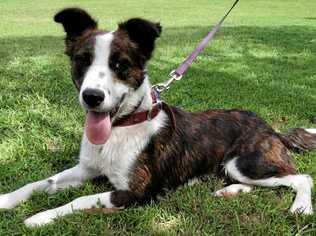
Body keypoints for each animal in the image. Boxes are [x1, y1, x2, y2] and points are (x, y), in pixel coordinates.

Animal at [0, 7, 316, 227]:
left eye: (120, 65)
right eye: (82, 61)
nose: (92, 96)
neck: (121, 127)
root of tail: (269, 127)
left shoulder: (136, 193)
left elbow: (80, 200)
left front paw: (40, 218)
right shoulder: (87, 169)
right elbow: (44, 182)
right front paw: (6, 199)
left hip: (244, 161)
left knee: (301, 177)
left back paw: (301, 207)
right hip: (235, 167)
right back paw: (231, 191)